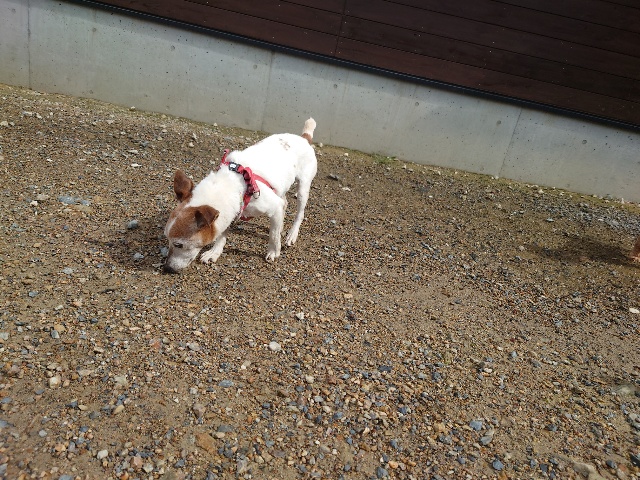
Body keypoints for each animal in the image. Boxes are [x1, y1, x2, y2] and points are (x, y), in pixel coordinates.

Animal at [163, 118, 317, 273]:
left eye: (179, 244)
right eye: (167, 240)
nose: (167, 268)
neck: (237, 186)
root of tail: (304, 138)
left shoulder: (273, 205)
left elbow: (273, 236)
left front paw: (273, 251)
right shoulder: (233, 211)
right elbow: (222, 235)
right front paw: (215, 252)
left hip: (303, 188)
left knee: (300, 213)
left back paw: (291, 235)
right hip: (280, 189)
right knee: (284, 203)